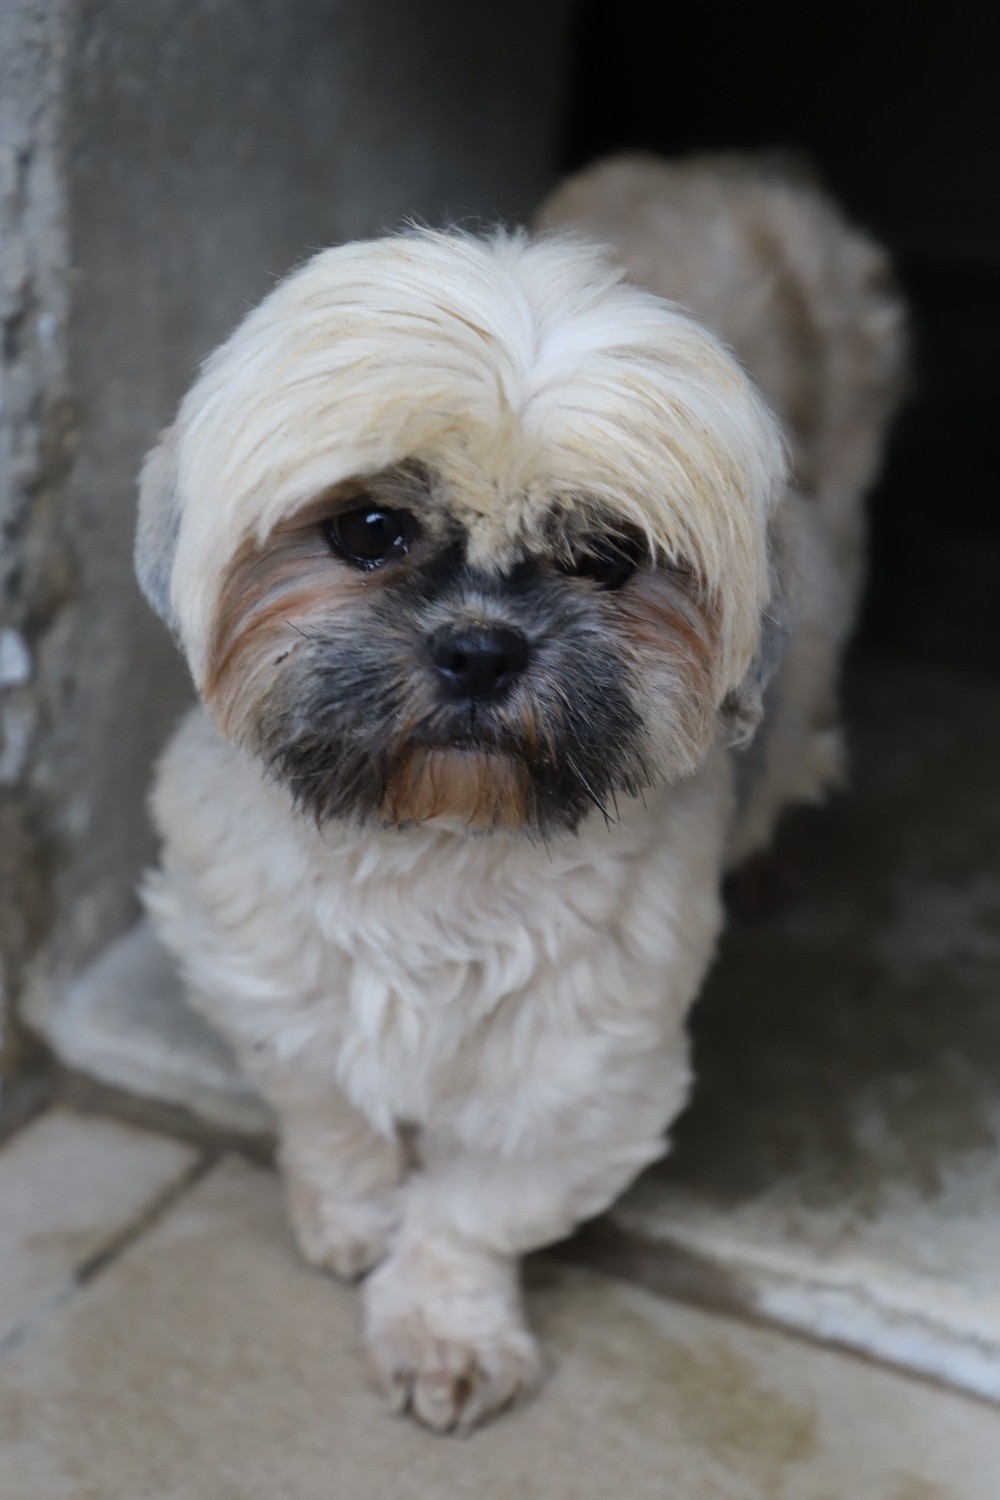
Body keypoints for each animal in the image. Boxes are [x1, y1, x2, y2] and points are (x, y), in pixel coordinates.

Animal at [134, 158, 905, 1434]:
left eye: (606, 557)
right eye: (369, 529)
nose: (481, 648)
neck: (437, 846)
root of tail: (725, 170)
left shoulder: (579, 1081)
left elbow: (470, 1210)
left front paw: (441, 1322)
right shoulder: (262, 976)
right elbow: (331, 1112)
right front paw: (351, 1213)